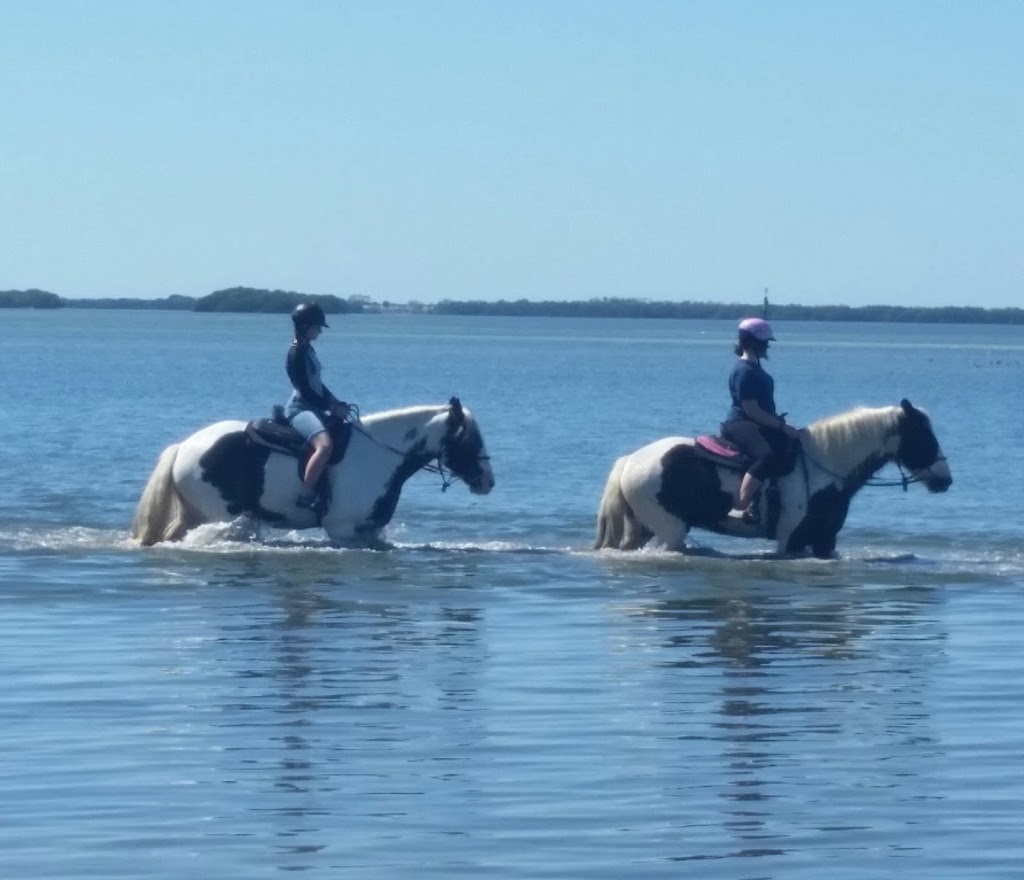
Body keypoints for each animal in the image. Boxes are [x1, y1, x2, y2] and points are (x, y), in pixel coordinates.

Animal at [133, 397, 495, 549]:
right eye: (469, 438)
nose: (488, 482)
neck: (377, 454)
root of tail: (183, 446)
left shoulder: (369, 530)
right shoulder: (342, 530)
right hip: (219, 515)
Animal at [593, 399, 950, 557]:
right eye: (923, 437)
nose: (945, 480)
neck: (822, 466)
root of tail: (630, 460)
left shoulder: (824, 541)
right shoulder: (790, 541)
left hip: (642, 527)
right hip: (670, 530)